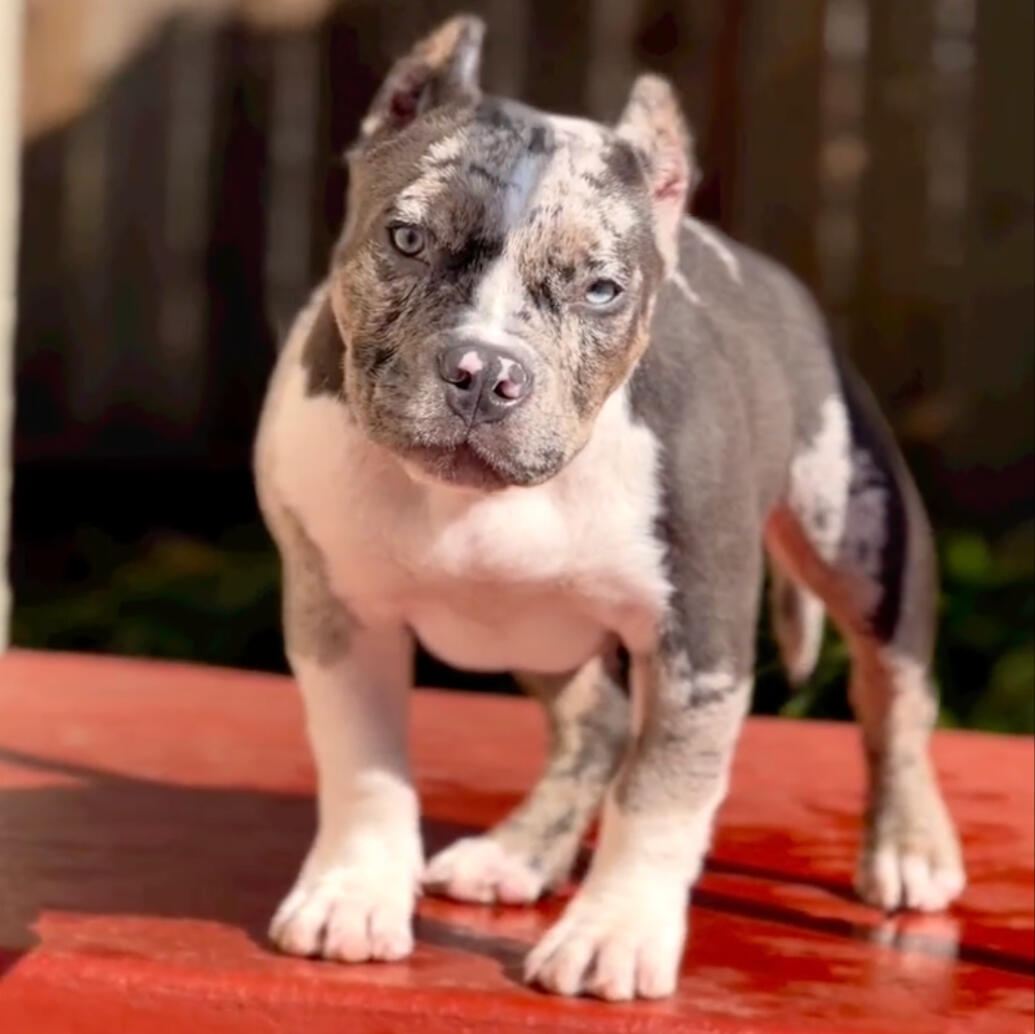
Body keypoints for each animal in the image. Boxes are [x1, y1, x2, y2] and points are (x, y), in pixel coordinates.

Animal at [254, 14, 964, 1001]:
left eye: (602, 290)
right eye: (406, 239)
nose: (485, 370)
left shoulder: (699, 645)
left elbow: (662, 791)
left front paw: (614, 933)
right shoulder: (339, 617)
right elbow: (364, 765)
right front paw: (354, 895)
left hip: (864, 545)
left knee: (893, 698)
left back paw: (908, 849)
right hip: (539, 631)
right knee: (593, 726)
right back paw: (516, 854)